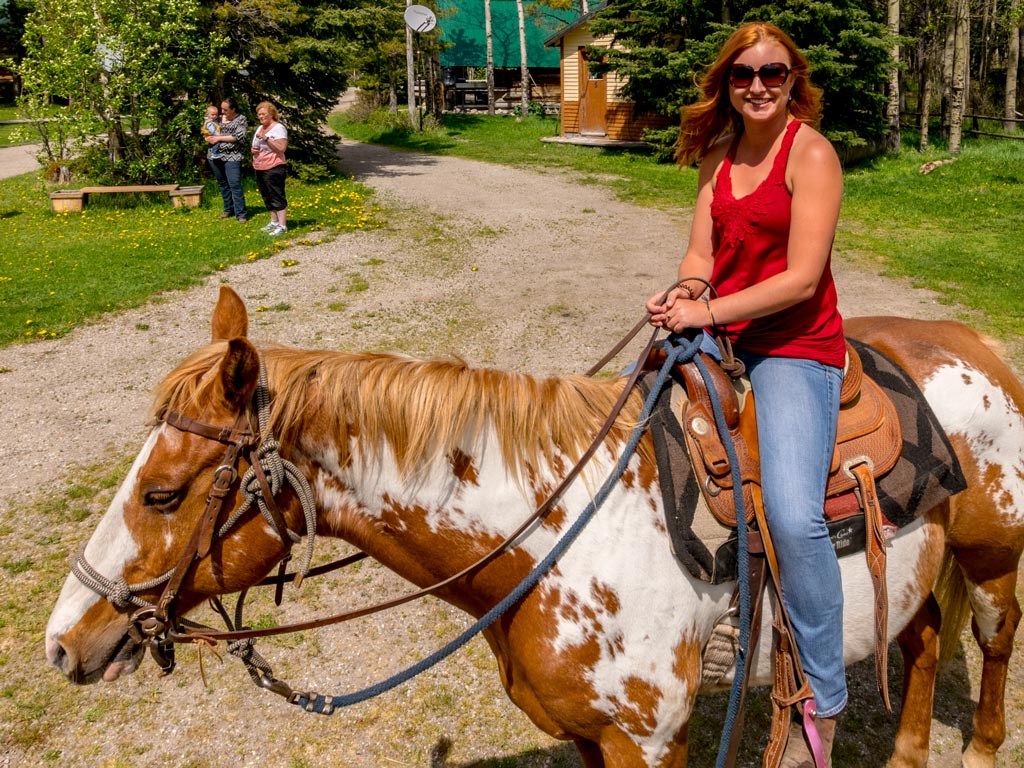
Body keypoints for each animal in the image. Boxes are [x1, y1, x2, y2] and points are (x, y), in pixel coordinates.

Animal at [44, 288, 1019, 768]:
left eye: (162, 493)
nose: (62, 642)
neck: (557, 542)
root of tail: (969, 339)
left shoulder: (647, 742)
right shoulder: (590, 737)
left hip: (991, 554)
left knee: (988, 632)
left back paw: (978, 750)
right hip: (913, 572)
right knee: (921, 639)